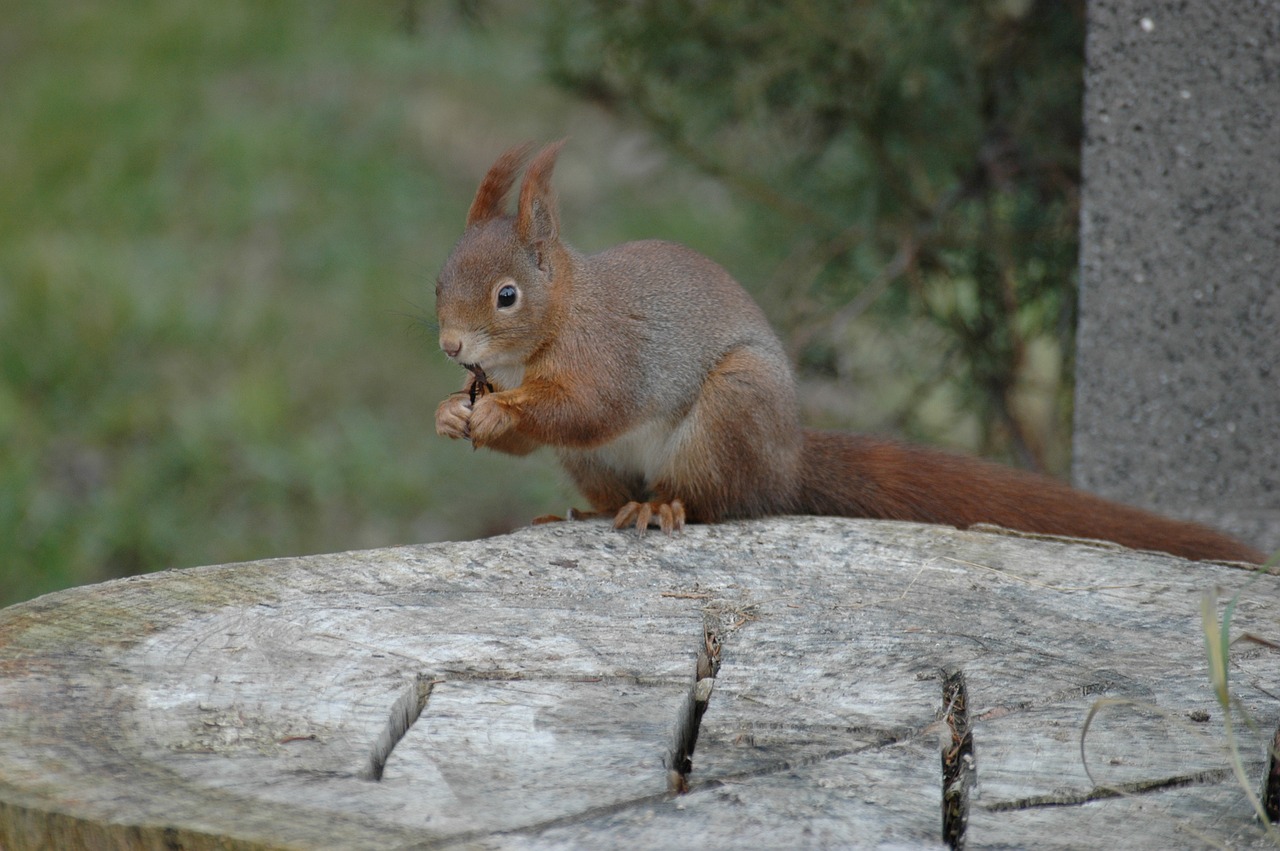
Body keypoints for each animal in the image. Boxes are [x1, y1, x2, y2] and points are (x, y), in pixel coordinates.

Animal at [430, 142, 1259, 560]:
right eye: (438, 279)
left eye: (507, 295)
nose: (449, 343)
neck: (559, 314)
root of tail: (788, 456)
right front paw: (451, 413)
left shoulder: (611, 352)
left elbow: (588, 403)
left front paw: (501, 414)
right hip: (599, 463)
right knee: (615, 487)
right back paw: (580, 510)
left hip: (731, 410)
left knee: (717, 499)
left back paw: (662, 506)